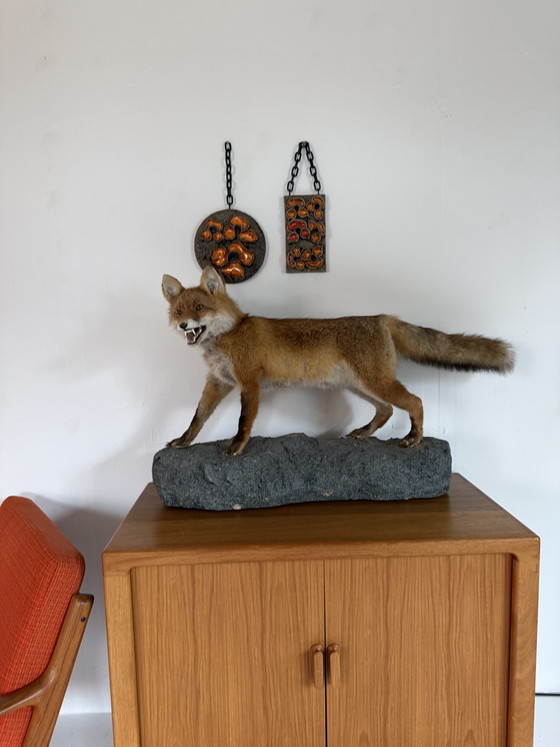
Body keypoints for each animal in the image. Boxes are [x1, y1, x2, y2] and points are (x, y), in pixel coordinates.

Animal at [162, 266, 514, 456]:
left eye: (200, 308)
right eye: (179, 311)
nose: (183, 325)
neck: (229, 335)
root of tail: (382, 317)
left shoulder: (249, 382)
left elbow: (243, 422)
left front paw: (236, 447)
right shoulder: (218, 381)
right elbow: (197, 418)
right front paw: (184, 441)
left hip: (376, 382)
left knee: (415, 401)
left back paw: (414, 437)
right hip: (360, 386)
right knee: (386, 410)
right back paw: (364, 433)